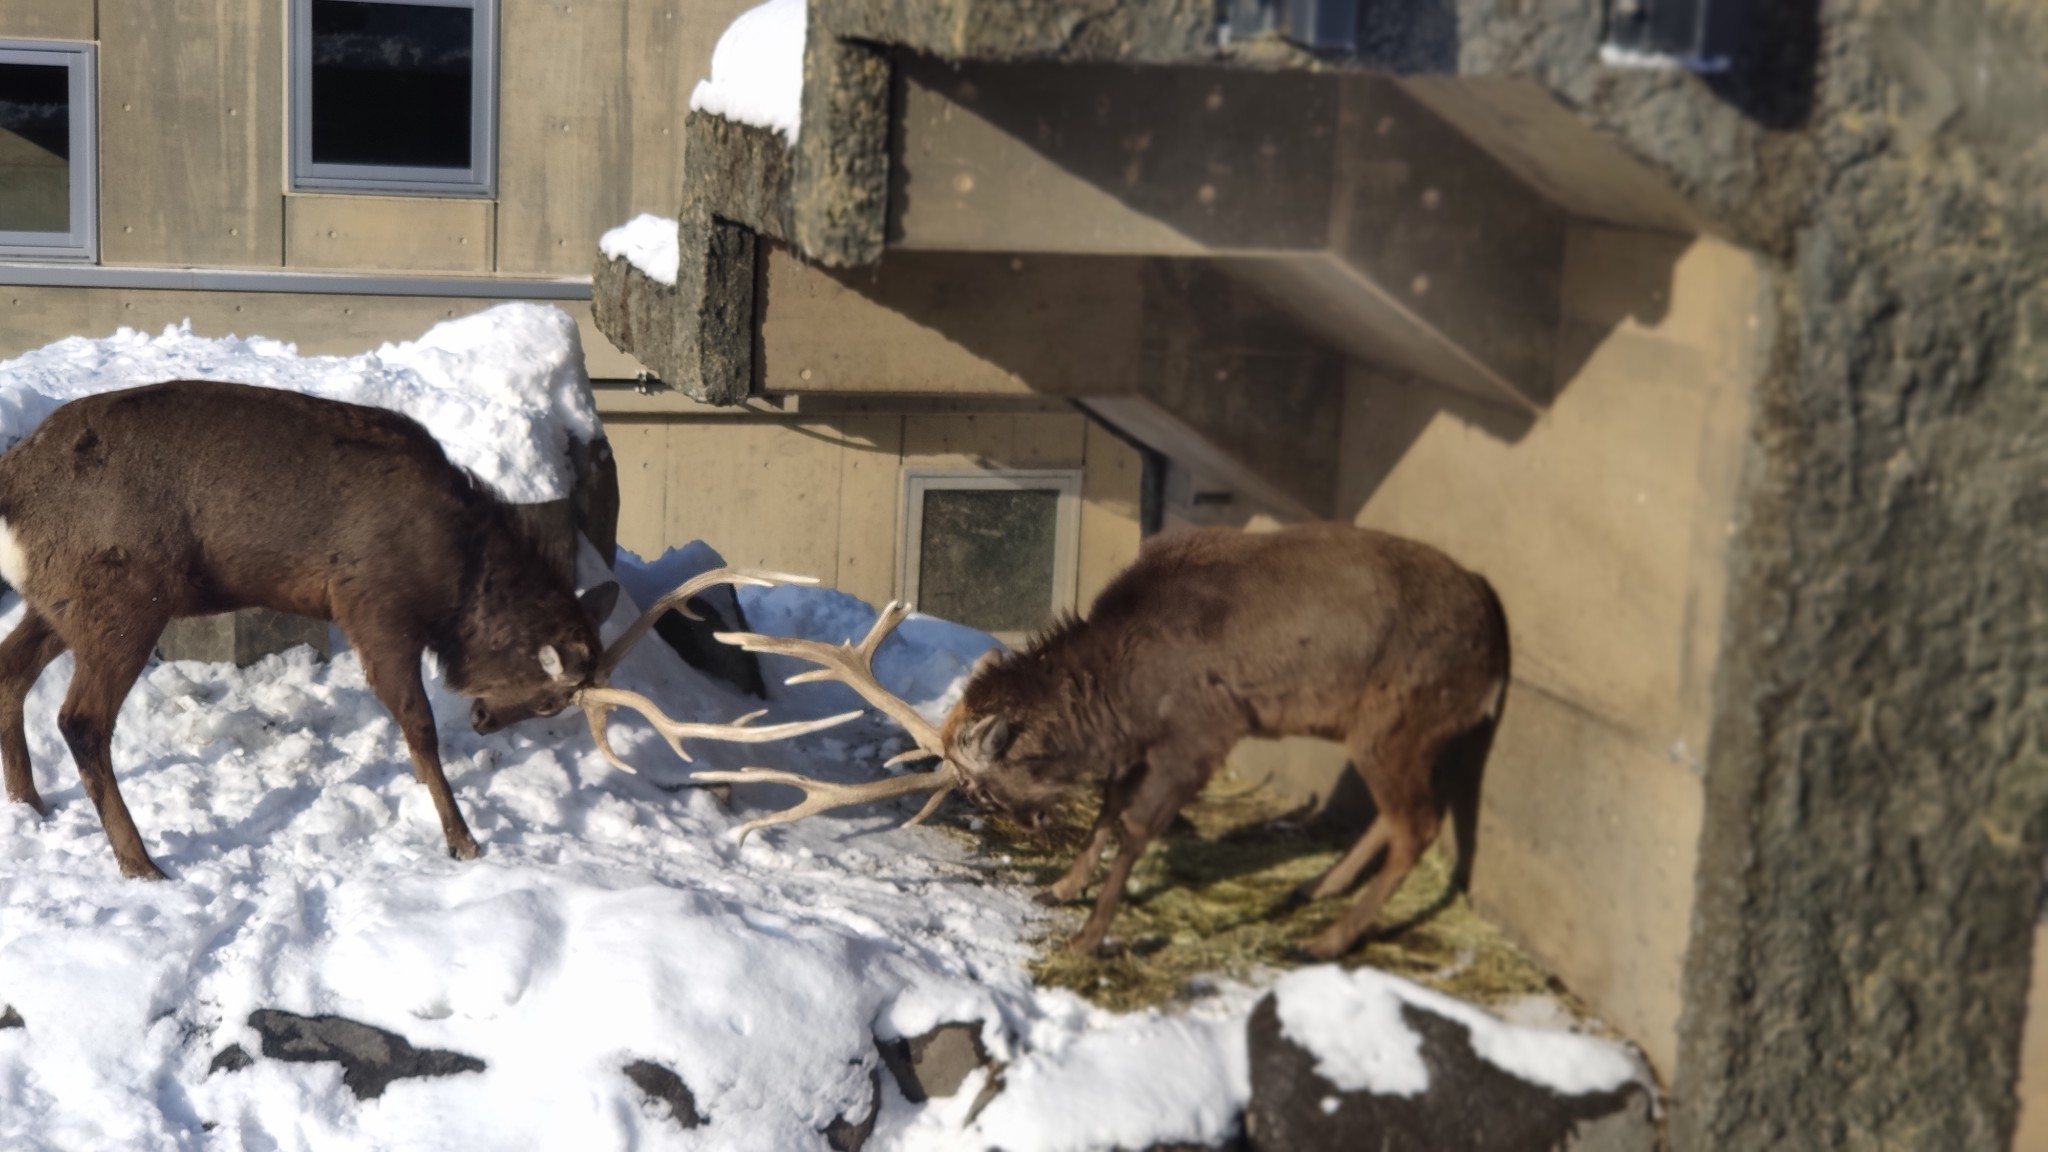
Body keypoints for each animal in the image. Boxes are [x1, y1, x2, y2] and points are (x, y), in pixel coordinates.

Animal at [0, 381, 856, 873]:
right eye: (550, 698)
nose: (484, 719)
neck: (457, 575)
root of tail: (16, 485)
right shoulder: (370, 605)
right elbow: (415, 724)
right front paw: (463, 837)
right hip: (121, 591)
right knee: (80, 718)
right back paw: (140, 860)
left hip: (58, 598)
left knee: (12, 671)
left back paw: (31, 804)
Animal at [684, 524, 1507, 955]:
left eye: (982, 787)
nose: (1031, 826)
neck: (1124, 691)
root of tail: (1500, 646)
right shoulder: (1145, 740)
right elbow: (1110, 808)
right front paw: (1063, 886)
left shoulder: (1203, 731)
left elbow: (1139, 826)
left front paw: (1090, 932)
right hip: (1387, 731)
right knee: (1397, 817)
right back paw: (1316, 888)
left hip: (1399, 719)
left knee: (1418, 824)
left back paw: (1328, 938)